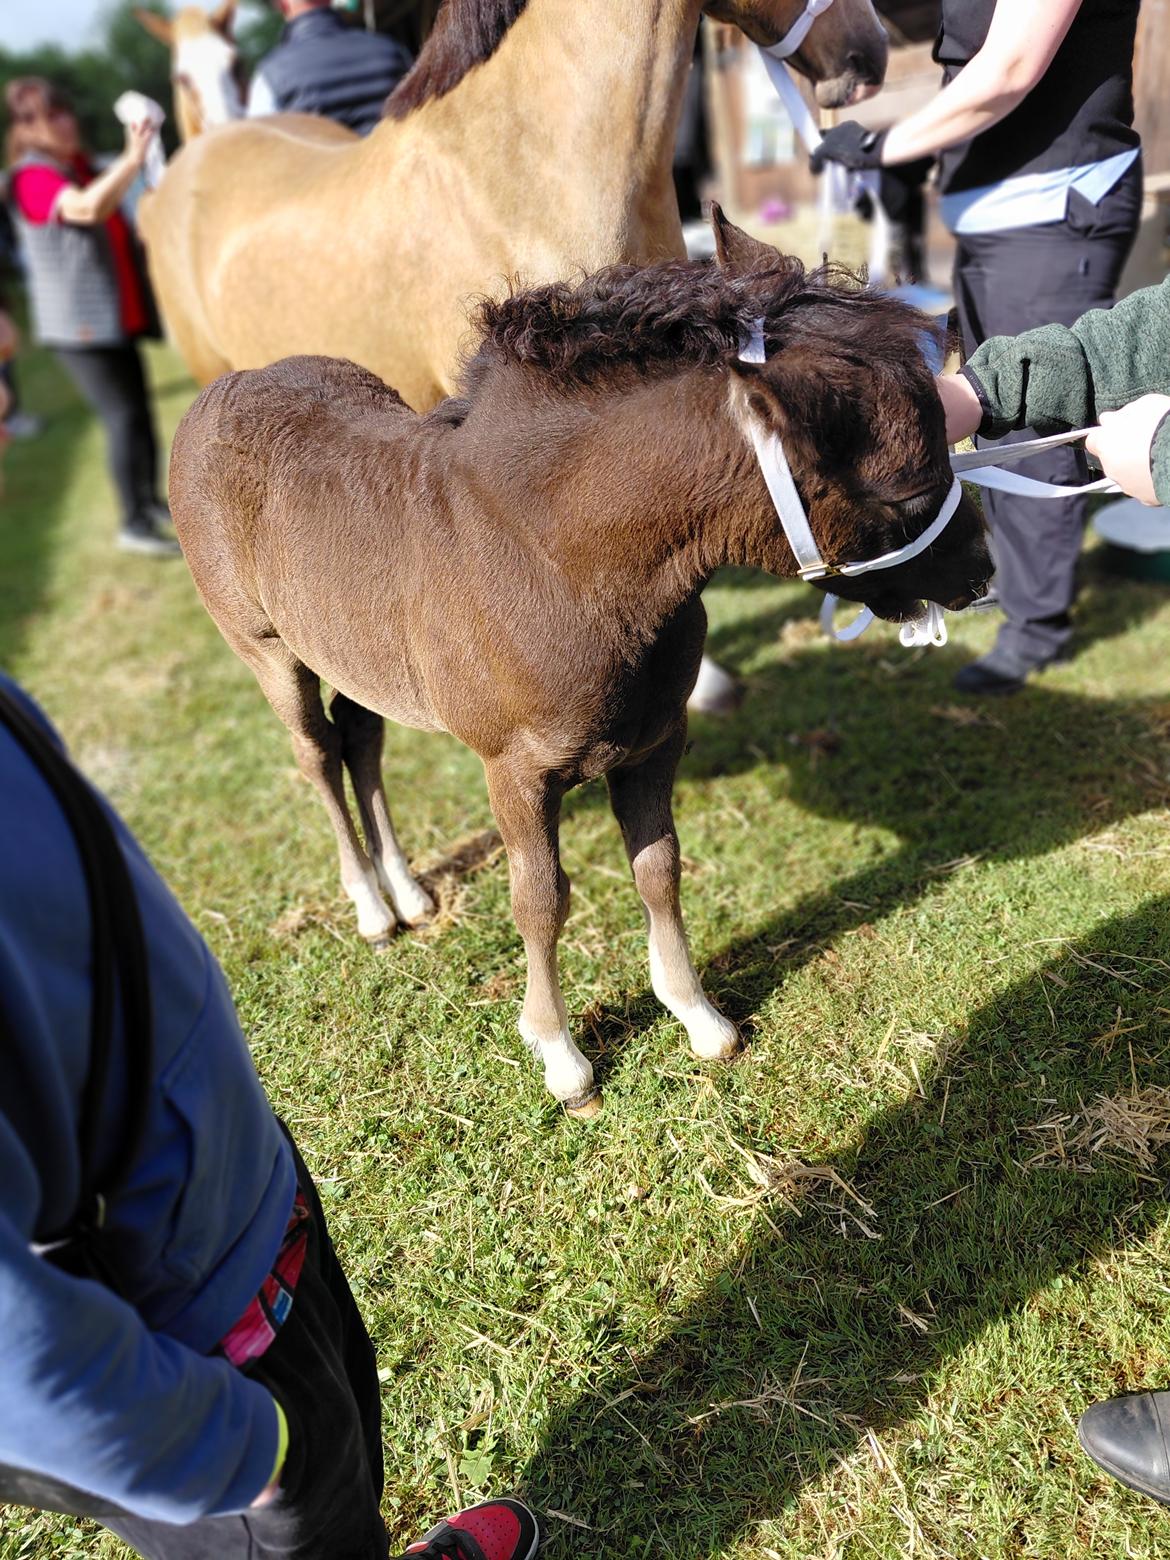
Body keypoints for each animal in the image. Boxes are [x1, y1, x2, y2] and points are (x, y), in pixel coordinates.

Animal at [167, 210, 992, 1119]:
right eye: (908, 492)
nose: (981, 569)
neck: (566, 563)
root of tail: (216, 393)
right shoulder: (515, 770)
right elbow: (541, 900)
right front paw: (560, 1056)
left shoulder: (655, 740)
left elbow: (659, 867)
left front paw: (699, 1017)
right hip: (267, 650)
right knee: (316, 753)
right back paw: (373, 908)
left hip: (356, 653)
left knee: (362, 741)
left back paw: (411, 892)